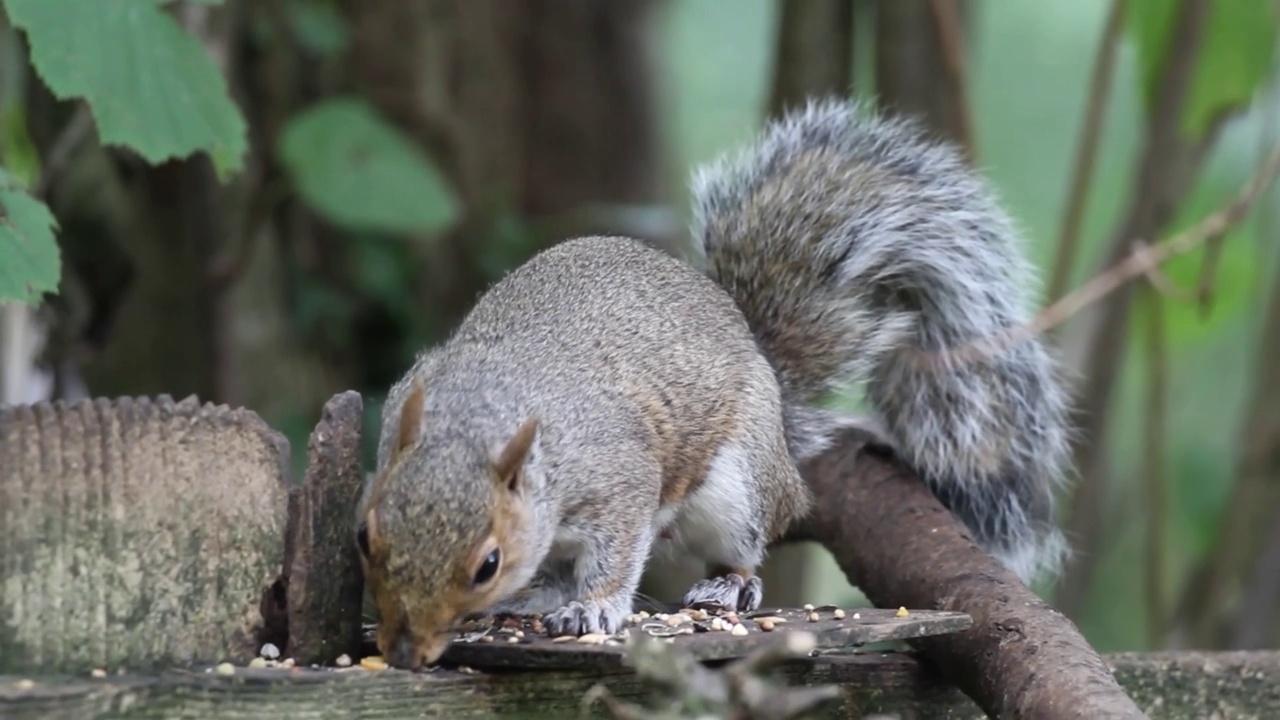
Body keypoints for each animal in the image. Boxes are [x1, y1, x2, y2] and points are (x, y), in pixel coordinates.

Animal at [355, 96, 1075, 666]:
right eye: (364, 535)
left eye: (487, 564)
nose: (405, 652)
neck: (477, 415)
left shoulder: (622, 478)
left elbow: (617, 555)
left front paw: (596, 609)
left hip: (740, 488)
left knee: (747, 545)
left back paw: (727, 585)